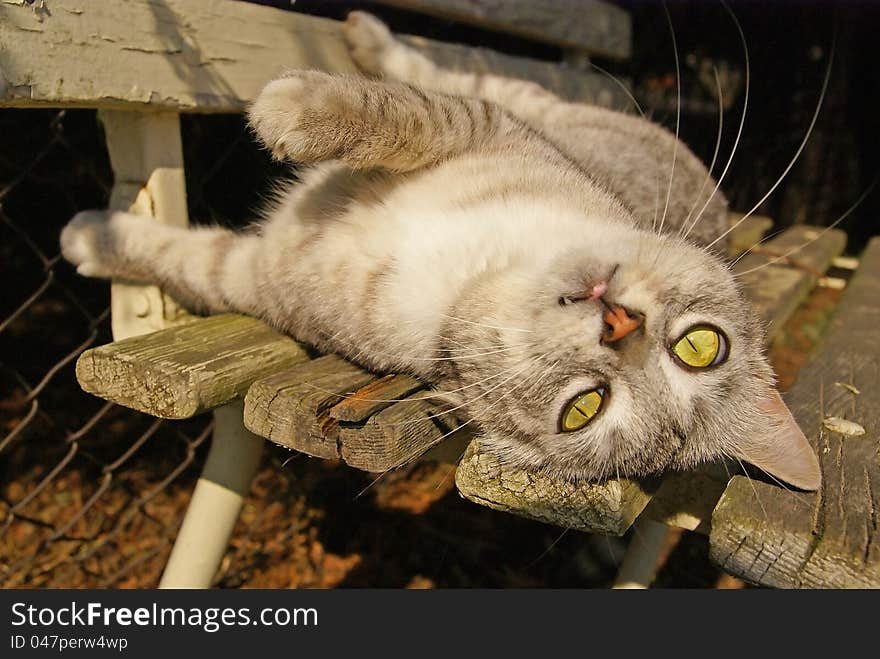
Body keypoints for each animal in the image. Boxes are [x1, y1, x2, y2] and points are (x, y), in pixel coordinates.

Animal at [58, 11, 820, 490]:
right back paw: (367, 35)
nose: (617, 322)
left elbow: (190, 263)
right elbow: (413, 115)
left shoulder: (261, 278)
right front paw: (298, 109)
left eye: (584, 408)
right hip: (537, 107)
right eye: (702, 345)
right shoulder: (485, 130)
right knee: (463, 75)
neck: (473, 267)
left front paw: (91, 237)